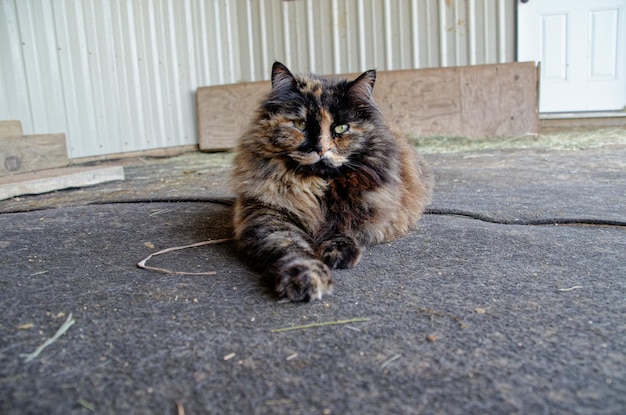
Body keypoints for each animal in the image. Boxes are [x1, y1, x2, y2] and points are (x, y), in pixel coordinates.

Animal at [232, 61, 432, 302]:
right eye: (299, 124)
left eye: (341, 128)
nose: (321, 149)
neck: (318, 186)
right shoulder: (268, 215)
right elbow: (292, 247)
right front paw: (306, 277)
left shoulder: (370, 210)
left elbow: (345, 226)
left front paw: (337, 252)